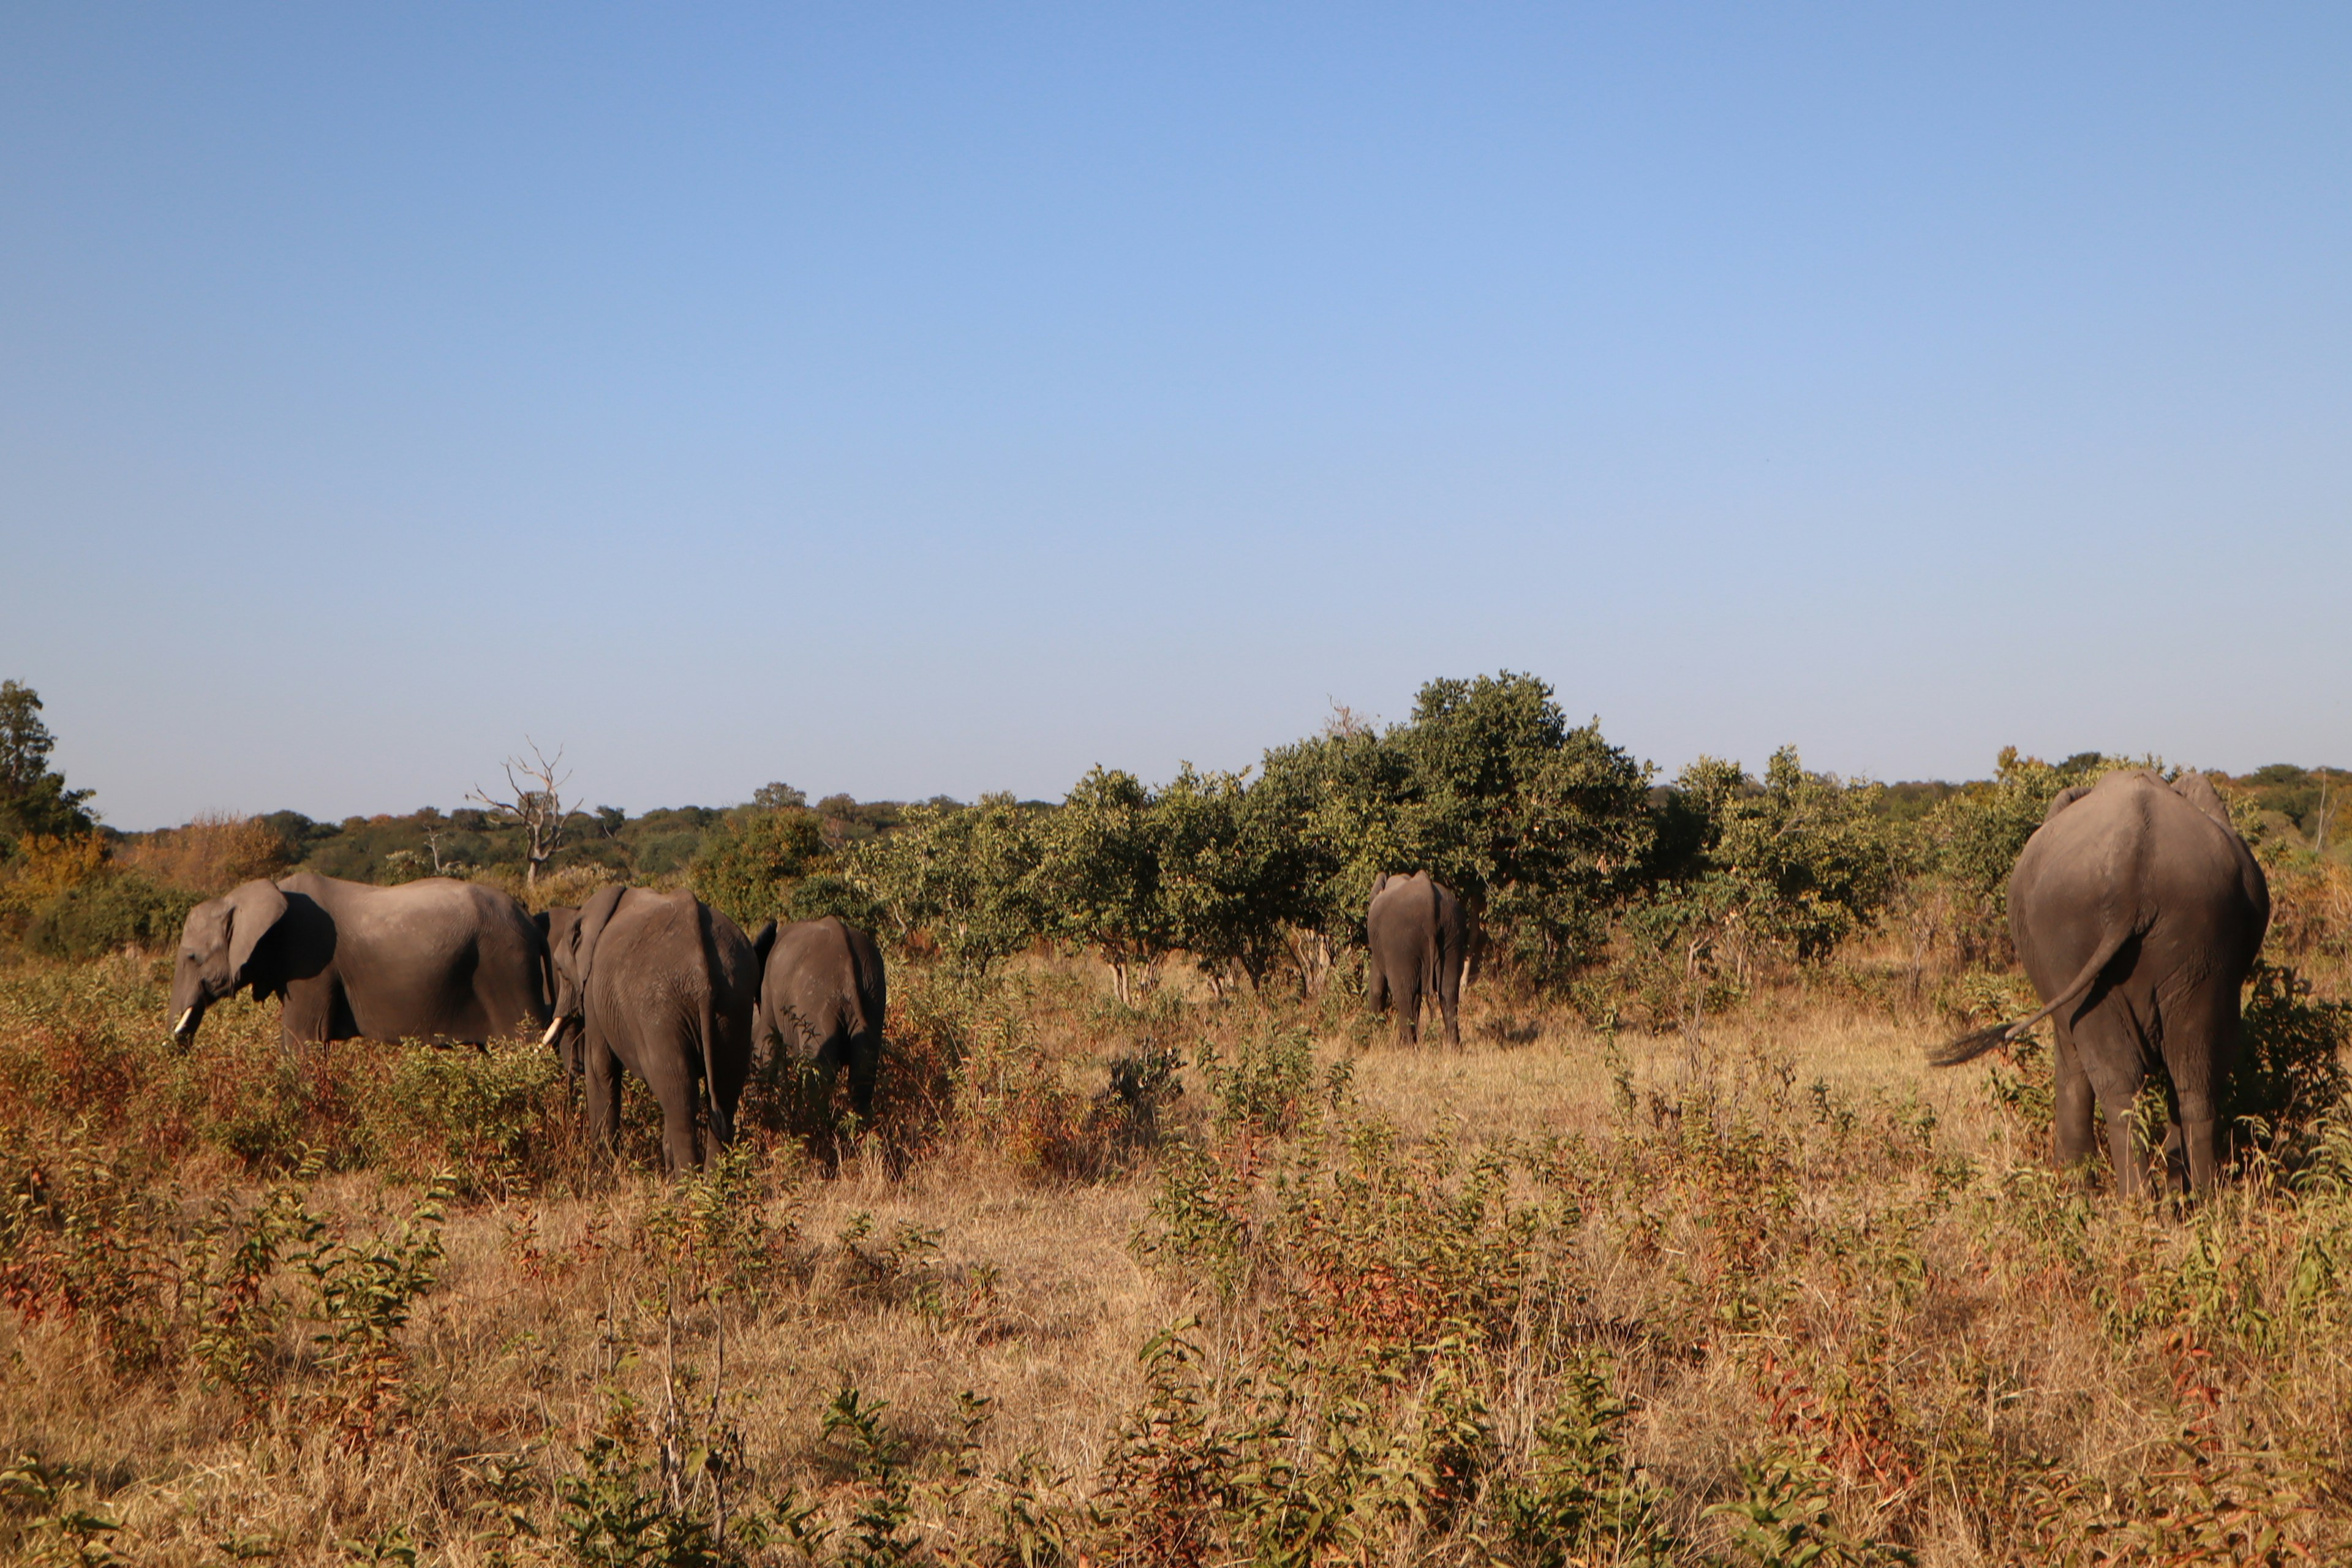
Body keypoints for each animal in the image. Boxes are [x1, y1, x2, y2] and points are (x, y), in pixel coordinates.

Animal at [545, 888, 757, 1170]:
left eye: (560, 970)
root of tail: (701, 975)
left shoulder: (593, 992)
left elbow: (600, 1068)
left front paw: (600, 1171)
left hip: (658, 1011)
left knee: (679, 1095)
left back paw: (687, 1183)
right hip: (735, 999)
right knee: (725, 1090)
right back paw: (715, 1180)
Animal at [752, 921, 889, 1128]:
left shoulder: (768, 992)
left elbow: (768, 1050)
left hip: (816, 1003)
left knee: (820, 1073)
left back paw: (814, 1130)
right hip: (873, 993)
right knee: (862, 1071)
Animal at [1373, 879, 1458, 1048]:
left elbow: (1377, 988)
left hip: (1401, 939)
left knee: (1403, 994)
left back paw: (1407, 1048)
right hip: (1452, 931)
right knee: (1449, 991)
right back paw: (1454, 1048)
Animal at [1928, 766, 2277, 1194]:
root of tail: (2132, 873)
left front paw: (2072, 1183)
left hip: (2080, 935)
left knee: (2126, 1077)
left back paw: (2137, 1201)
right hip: (2194, 939)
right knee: (2191, 1074)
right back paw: (2197, 1199)